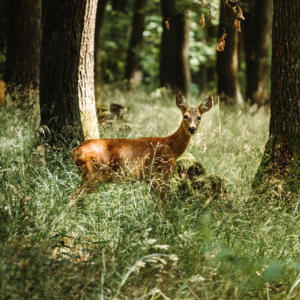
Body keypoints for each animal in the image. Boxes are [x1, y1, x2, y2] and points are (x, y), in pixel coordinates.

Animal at [69, 92, 212, 207]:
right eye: (185, 116)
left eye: (199, 117)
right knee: (73, 197)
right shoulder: (159, 175)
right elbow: (163, 204)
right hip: (94, 174)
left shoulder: (151, 179)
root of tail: (74, 151)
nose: (192, 128)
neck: (172, 147)